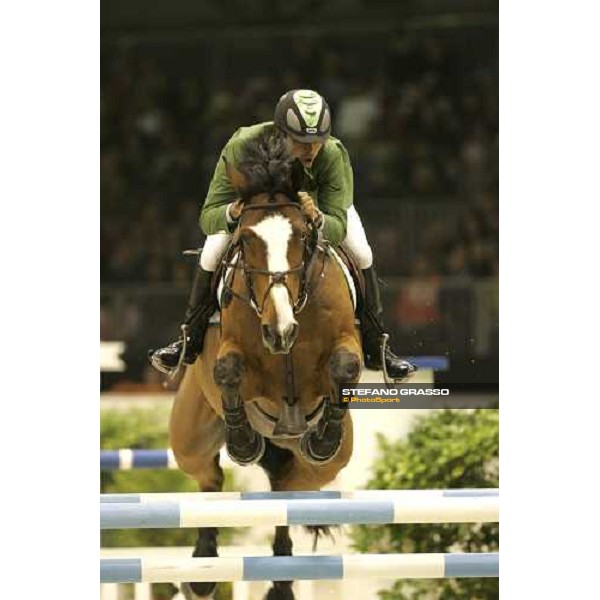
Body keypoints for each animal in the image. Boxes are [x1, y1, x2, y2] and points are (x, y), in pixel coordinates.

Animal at [171, 132, 364, 600]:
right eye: (244, 240)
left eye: (302, 235)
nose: (280, 331)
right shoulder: (233, 353)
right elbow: (229, 370)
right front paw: (242, 442)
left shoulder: (342, 348)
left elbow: (344, 365)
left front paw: (324, 434)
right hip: (189, 439)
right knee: (210, 480)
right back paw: (203, 568)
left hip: (321, 467)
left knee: (286, 494)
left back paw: (280, 581)